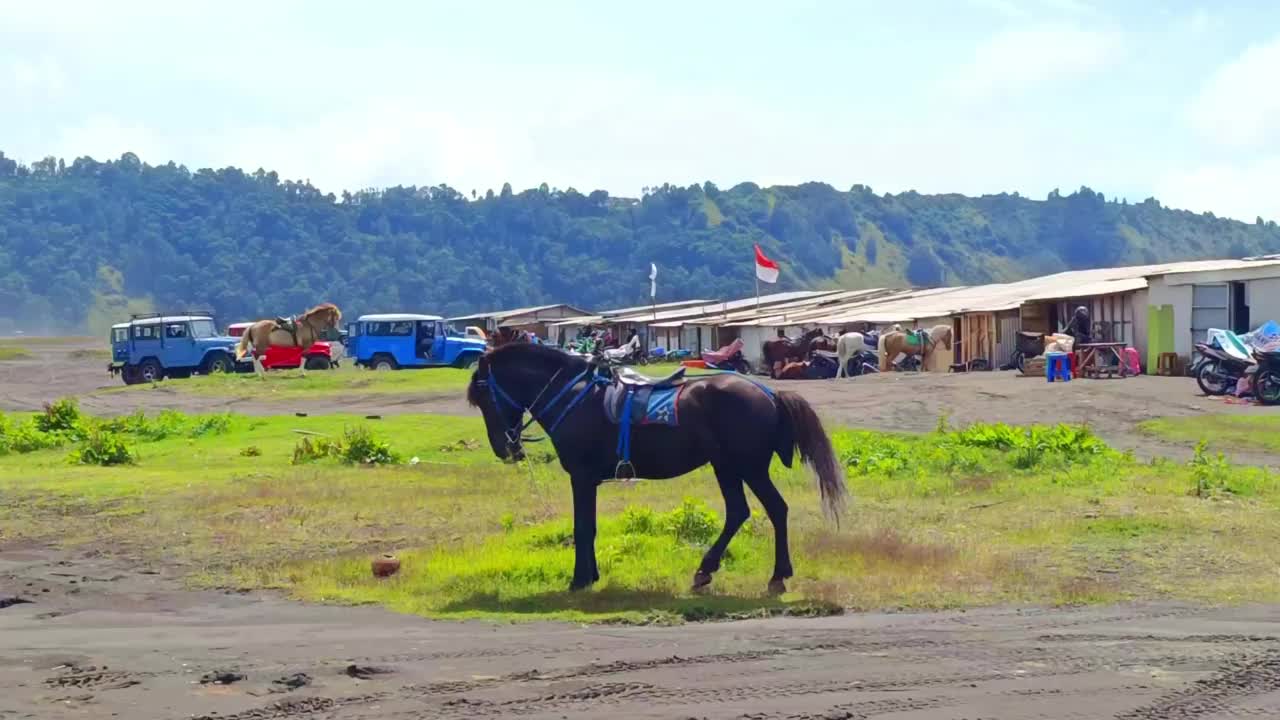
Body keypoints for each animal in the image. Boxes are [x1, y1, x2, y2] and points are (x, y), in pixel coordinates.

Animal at [465, 340, 844, 594]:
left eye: (483, 397)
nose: (505, 447)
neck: (573, 395)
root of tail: (768, 394)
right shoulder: (589, 481)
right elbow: (590, 527)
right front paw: (591, 576)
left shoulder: (582, 478)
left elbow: (582, 528)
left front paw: (579, 580)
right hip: (726, 466)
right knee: (739, 511)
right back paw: (706, 571)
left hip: (748, 467)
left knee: (775, 509)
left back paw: (777, 575)